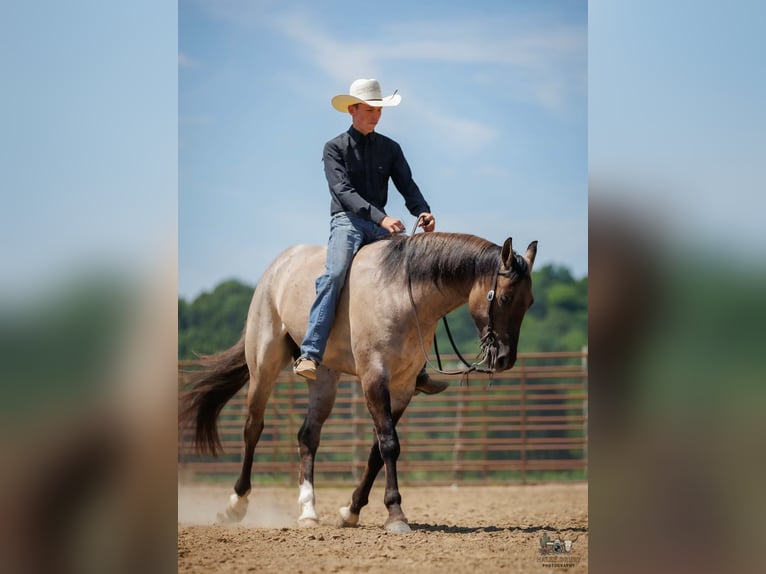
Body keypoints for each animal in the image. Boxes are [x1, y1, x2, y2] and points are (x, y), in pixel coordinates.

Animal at [179, 231, 537, 533]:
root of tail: (278, 267)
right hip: (263, 364)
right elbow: (389, 444)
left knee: (307, 436)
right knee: (253, 427)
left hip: (324, 379)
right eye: (505, 298)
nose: (505, 359)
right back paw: (236, 505)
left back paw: (308, 511)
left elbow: (377, 451)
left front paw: (350, 511)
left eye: (530, 302)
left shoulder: (403, 388)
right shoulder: (373, 377)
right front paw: (396, 514)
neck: (403, 295)